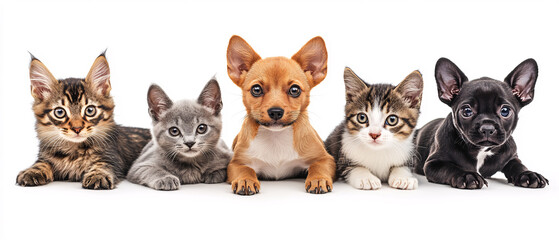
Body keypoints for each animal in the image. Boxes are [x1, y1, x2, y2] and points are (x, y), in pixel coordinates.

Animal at [16, 52, 152, 189]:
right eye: (60, 112)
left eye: (90, 110)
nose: (77, 128)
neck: (73, 151)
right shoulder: (44, 156)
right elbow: (41, 163)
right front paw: (32, 171)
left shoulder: (112, 158)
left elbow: (102, 165)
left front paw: (98, 175)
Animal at [225, 35, 334, 195]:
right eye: (256, 89)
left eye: (294, 90)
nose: (275, 111)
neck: (275, 137)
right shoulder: (236, 163)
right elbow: (245, 170)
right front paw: (245, 180)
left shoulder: (325, 159)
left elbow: (318, 166)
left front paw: (318, 178)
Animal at [416, 58, 552, 189]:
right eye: (466, 111)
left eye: (505, 111)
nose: (487, 128)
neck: (481, 150)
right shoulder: (433, 163)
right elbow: (450, 168)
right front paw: (467, 175)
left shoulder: (512, 158)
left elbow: (518, 166)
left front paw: (528, 174)